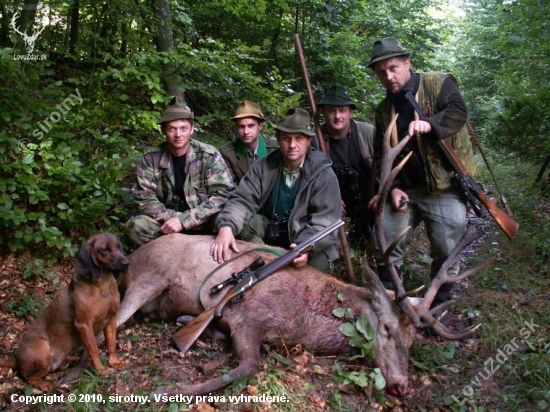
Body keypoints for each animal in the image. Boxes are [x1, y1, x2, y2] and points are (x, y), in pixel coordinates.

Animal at [116, 114, 496, 398]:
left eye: (413, 340)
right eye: (387, 329)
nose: (401, 387)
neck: (305, 324)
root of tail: (131, 259)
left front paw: (192, 329)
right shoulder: (248, 316)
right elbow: (247, 368)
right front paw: (163, 390)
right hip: (147, 278)